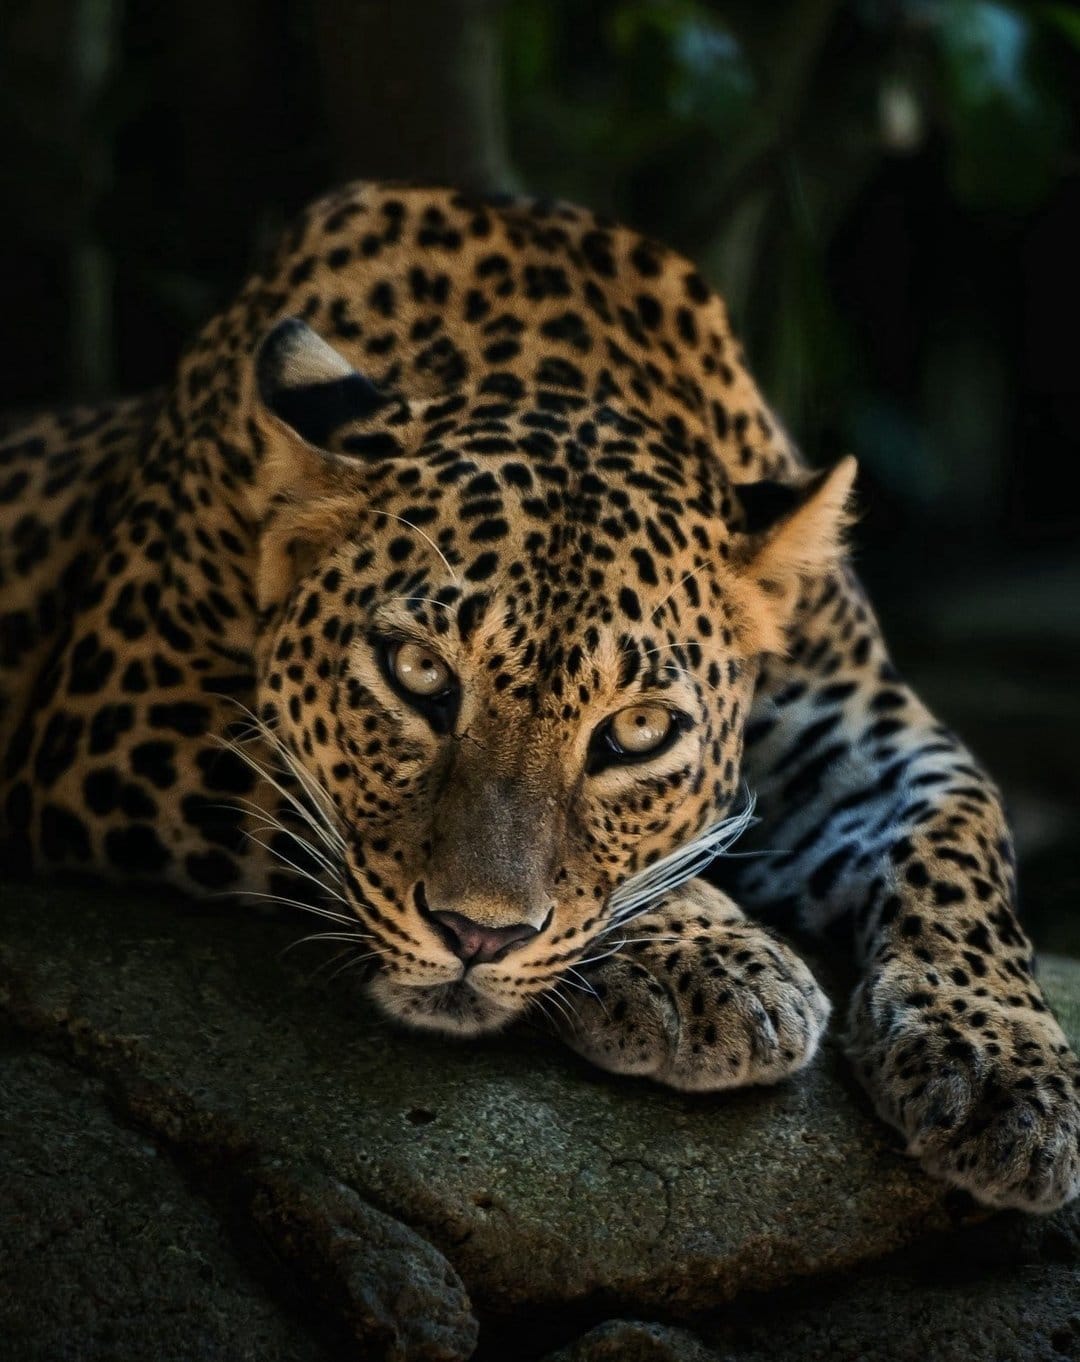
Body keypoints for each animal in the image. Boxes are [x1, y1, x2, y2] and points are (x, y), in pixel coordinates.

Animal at [1, 182, 1076, 1214]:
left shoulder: (851, 720)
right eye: (419, 675)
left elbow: (961, 831)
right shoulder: (117, 708)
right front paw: (716, 961)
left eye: (637, 731)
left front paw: (1005, 1073)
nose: (477, 937)